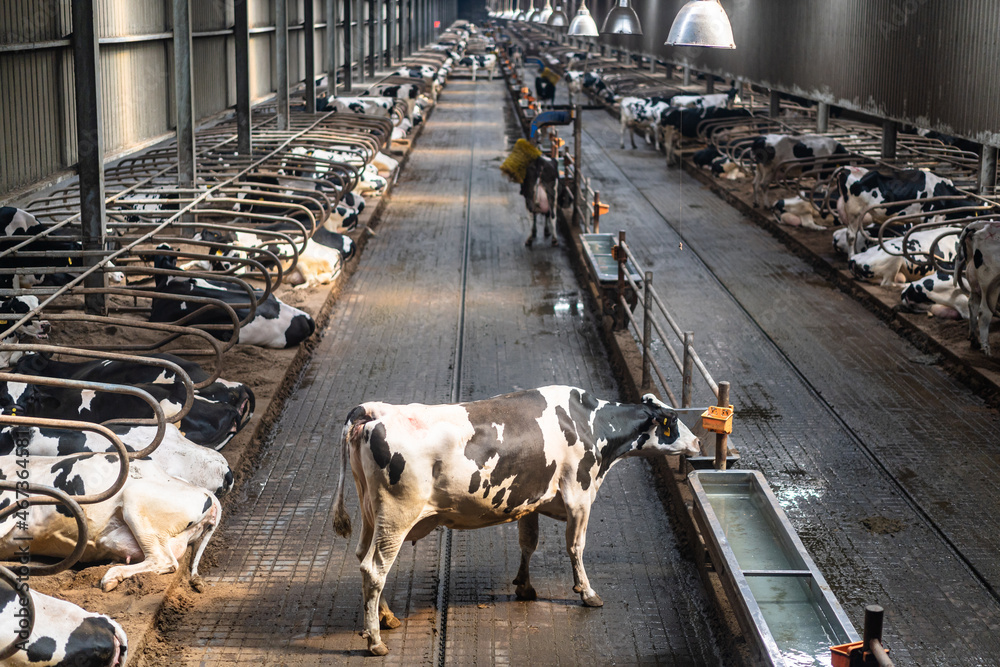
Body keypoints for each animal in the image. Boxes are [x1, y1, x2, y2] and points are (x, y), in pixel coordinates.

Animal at [332, 386, 700, 656]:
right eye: (673, 420)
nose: (697, 441)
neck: (588, 423)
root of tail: (374, 410)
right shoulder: (579, 495)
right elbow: (576, 547)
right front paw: (586, 592)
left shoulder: (531, 499)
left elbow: (529, 542)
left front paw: (524, 586)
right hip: (397, 515)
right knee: (375, 569)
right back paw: (375, 641)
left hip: (371, 513)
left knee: (363, 559)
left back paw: (386, 617)